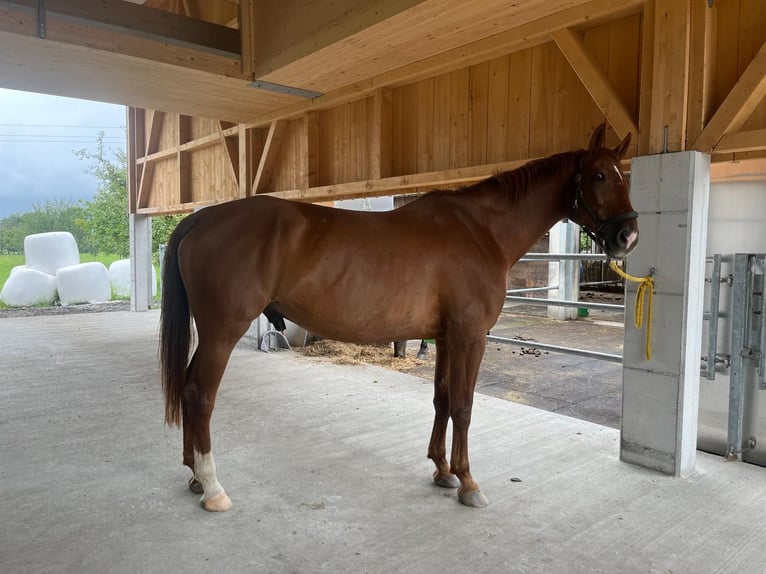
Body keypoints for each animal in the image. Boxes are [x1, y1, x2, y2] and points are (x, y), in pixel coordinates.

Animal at [159, 124, 638, 512]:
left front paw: (442, 471)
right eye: (598, 175)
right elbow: (463, 405)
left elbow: (442, 399)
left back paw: (193, 476)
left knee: (186, 386)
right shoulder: (471, 336)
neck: (480, 231)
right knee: (200, 395)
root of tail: (203, 218)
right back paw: (213, 488)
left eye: (624, 174)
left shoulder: (445, 338)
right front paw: (468, 482)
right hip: (222, 332)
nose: (627, 236)